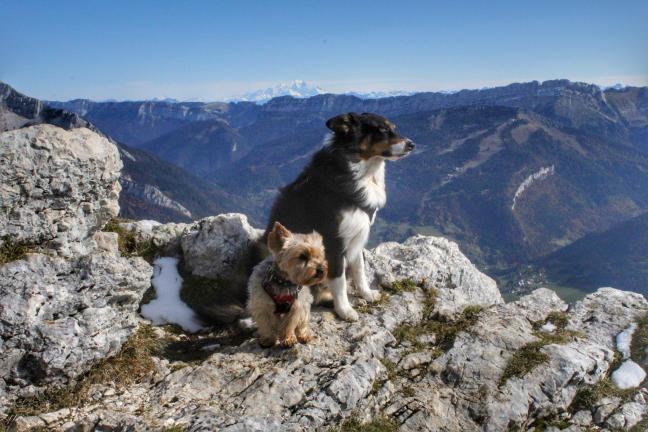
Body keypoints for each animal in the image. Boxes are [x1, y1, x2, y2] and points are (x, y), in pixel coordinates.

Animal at [264, 111, 412, 320]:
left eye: (393, 127)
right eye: (382, 130)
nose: (411, 144)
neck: (360, 171)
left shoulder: (357, 235)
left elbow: (359, 269)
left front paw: (366, 293)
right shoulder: (333, 242)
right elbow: (339, 280)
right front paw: (345, 310)